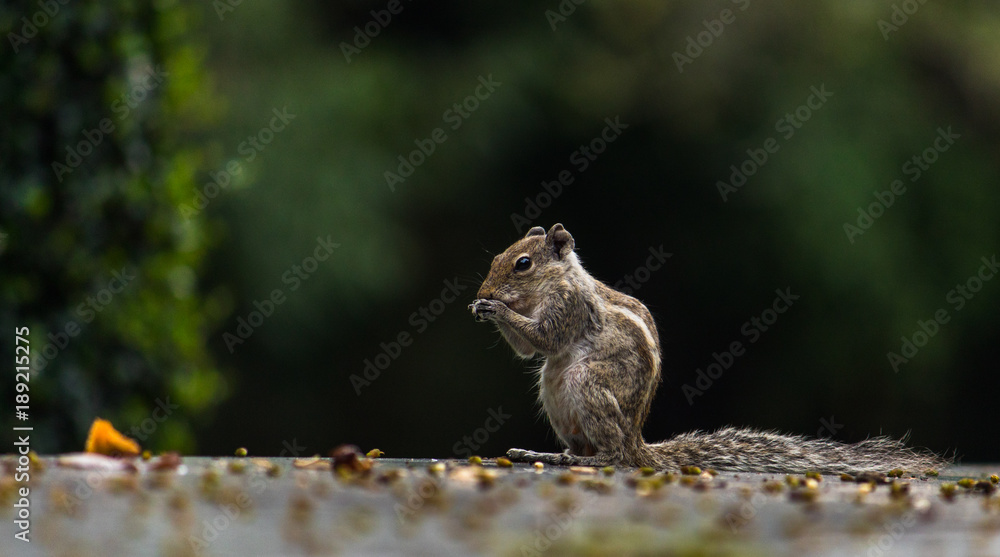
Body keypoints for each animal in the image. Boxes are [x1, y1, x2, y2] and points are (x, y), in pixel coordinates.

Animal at [469, 224, 946, 473]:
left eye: (523, 264)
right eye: (496, 257)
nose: (483, 291)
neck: (559, 279)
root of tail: (637, 440)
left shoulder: (567, 307)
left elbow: (544, 338)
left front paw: (495, 307)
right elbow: (528, 350)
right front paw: (483, 306)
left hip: (588, 385)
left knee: (613, 458)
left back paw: (577, 459)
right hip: (554, 391)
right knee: (587, 448)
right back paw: (542, 453)